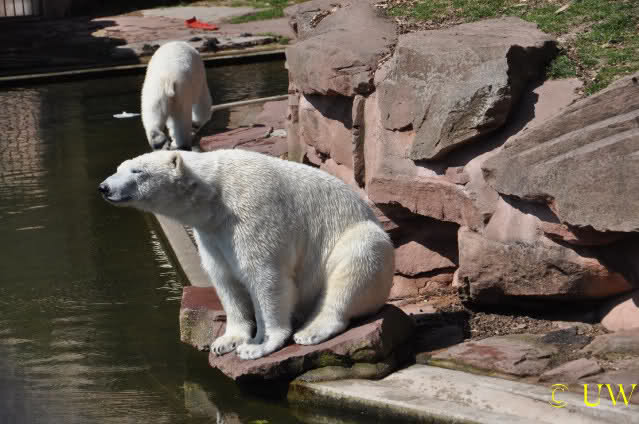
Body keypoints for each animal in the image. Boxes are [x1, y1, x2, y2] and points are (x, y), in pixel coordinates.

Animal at [98, 149, 395, 360]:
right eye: (119, 168)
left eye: (138, 171)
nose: (104, 187)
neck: (213, 196)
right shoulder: (212, 233)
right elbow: (226, 281)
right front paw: (226, 341)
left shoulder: (251, 212)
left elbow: (265, 278)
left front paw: (258, 346)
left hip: (359, 238)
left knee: (355, 262)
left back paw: (310, 332)